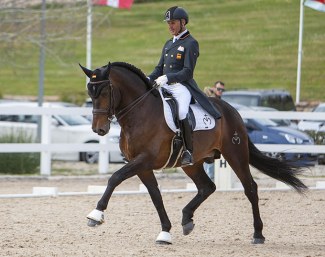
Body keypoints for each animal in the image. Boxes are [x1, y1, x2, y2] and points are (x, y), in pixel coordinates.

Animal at [79, 61, 306, 244]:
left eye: (105, 92)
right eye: (90, 93)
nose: (99, 130)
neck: (140, 112)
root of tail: (232, 110)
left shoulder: (144, 160)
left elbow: (115, 177)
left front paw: (96, 214)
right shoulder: (142, 165)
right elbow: (155, 196)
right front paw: (165, 233)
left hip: (235, 154)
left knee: (250, 188)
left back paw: (258, 234)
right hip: (192, 163)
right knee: (207, 187)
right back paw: (187, 219)